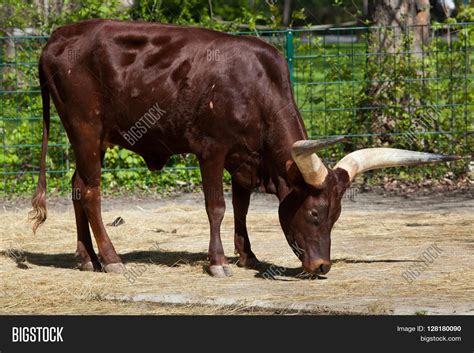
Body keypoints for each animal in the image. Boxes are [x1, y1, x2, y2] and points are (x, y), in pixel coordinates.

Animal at [29, 20, 460, 278]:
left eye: (336, 217)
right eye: (315, 214)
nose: (322, 266)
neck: (255, 86)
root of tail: (55, 38)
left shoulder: (243, 159)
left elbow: (242, 207)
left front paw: (248, 255)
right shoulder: (211, 151)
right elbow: (217, 207)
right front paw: (219, 262)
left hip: (94, 139)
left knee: (77, 187)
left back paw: (86, 258)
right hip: (86, 130)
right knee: (91, 192)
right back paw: (112, 259)